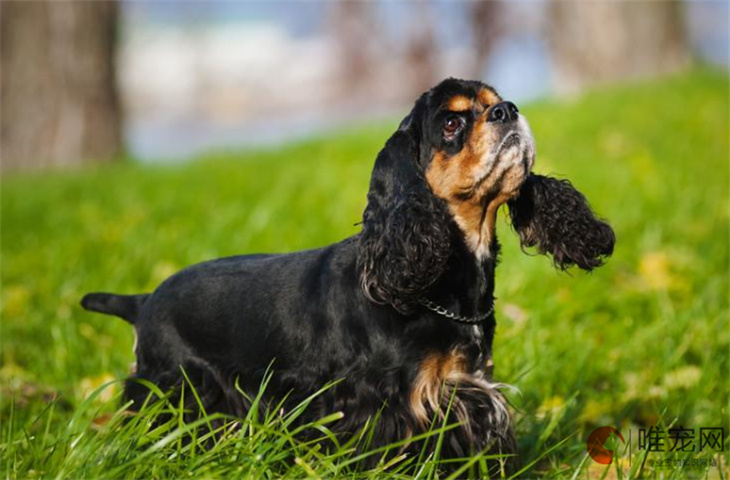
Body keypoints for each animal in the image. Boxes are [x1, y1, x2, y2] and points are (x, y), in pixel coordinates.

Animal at [79, 79, 616, 472]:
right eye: (451, 122)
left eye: (493, 102)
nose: (508, 109)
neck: (433, 282)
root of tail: (143, 301)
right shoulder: (379, 405)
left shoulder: (471, 389)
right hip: (173, 390)